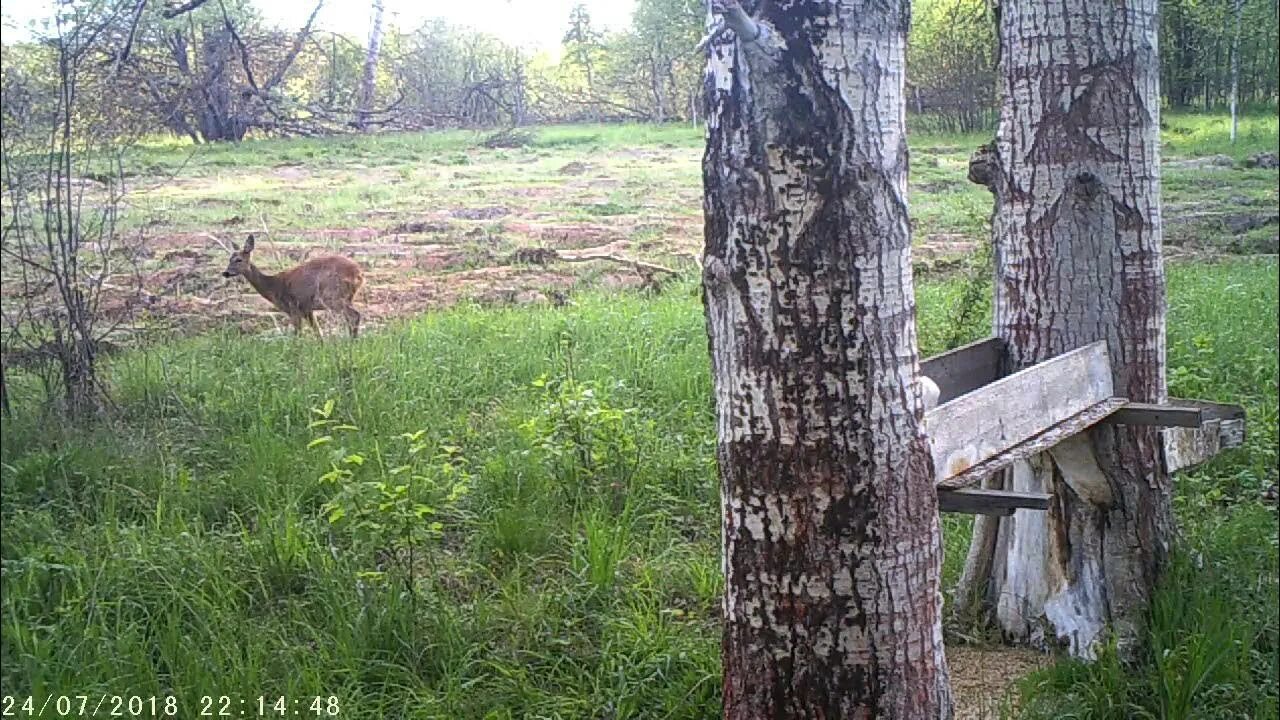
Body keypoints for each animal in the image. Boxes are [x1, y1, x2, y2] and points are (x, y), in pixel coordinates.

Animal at [221, 234, 366, 338]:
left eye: (238, 260)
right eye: (229, 259)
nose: (225, 272)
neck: (273, 287)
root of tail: (359, 272)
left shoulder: (293, 308)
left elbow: (298, 335)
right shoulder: (307, 309)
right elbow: (318, 333)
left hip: (333, 296)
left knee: (354, 315)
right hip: (344, 297)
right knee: (351, 318)